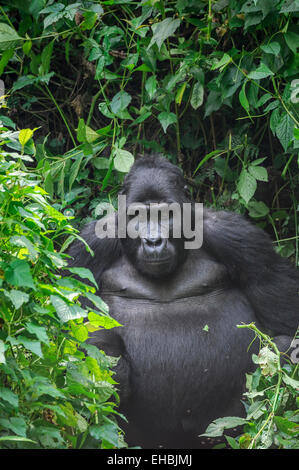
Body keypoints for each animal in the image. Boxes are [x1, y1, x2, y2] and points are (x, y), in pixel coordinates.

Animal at [68, 154, 299, 448]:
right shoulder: (87, 245)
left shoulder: (237, 236)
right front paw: (112, 362)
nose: (153, 241)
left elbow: (287, 323)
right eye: (138, 216)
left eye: (165, 215)